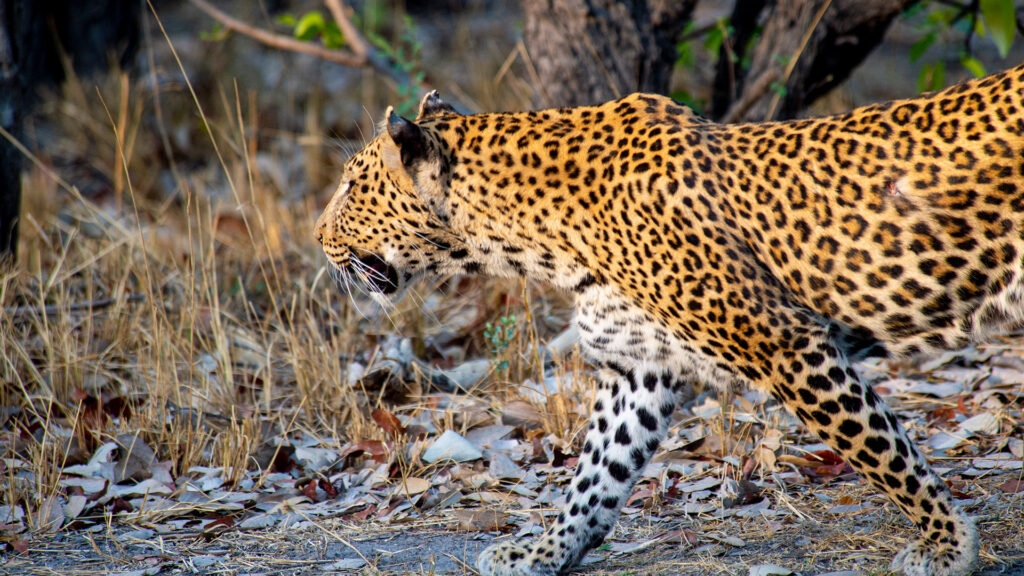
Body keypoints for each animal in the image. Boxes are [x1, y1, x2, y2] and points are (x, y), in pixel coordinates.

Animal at [314, 65, 1024, 576]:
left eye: (351, 187)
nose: (317, 236)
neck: (526, 238)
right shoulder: (639, 367)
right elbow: (595, 474)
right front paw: (542, 552)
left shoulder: (786, 344)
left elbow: (885, 451)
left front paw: (948, 546)